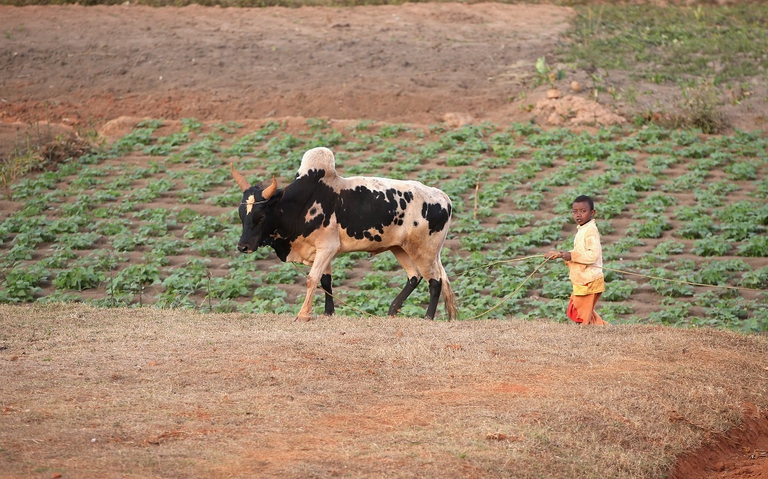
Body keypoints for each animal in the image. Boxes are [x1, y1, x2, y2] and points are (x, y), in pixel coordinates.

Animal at [232, 146, 458, 322]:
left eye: (261, 216)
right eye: (242, 214)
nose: (243, 246)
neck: (300, 205)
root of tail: (443, 197)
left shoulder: (327, 248)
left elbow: (312, 279)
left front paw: (304, 314)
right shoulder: (322, 251)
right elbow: (325, 281)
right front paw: (328, 313)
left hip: (424, 251)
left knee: (435, 282)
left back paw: (427, 317)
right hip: (399, 248)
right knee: (414, 277)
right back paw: (392, 310)